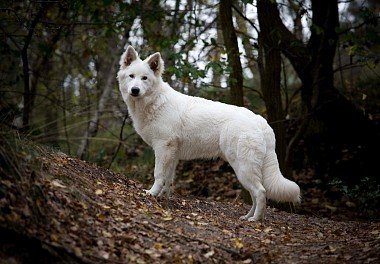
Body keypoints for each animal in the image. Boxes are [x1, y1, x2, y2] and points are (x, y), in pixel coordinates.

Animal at [117, 46, 302, 222]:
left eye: (144, 78)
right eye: (131, 76)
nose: (135, 90)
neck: (154, 102)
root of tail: (261, 121)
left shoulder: (163, 148)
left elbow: (158, 175)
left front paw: (151, 193)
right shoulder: (172, 154)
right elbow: (168, 180)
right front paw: (164, 198)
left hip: (243, 168)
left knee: (261, 192)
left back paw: (256, 219)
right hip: (242, 169)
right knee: (255, 195)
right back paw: (247, 216)